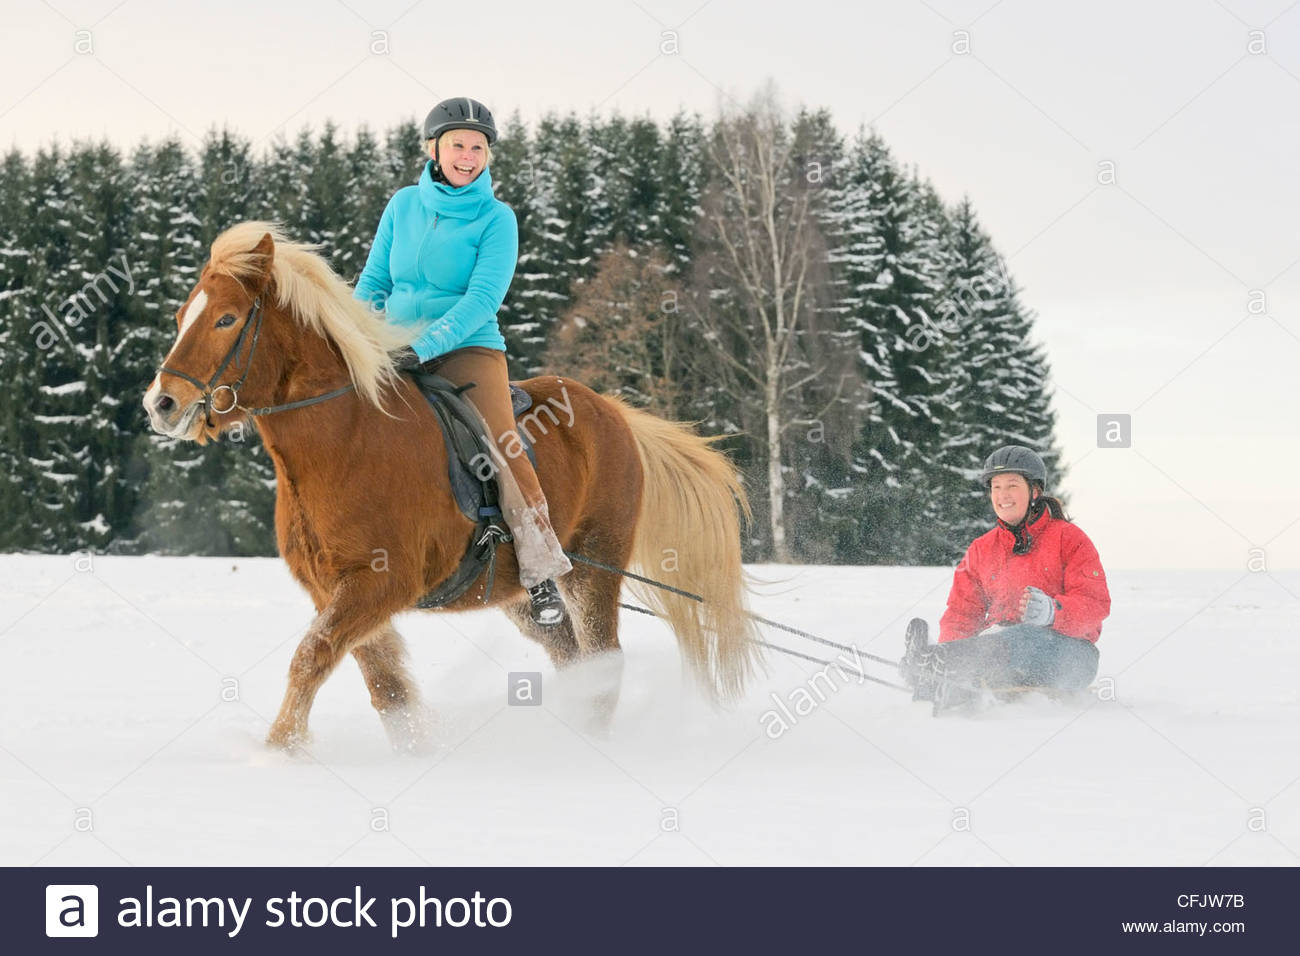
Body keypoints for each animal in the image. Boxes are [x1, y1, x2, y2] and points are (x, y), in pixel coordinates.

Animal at [142, 221, 761, 751]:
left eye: (226, 319)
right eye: (181, 316)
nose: (161, 404)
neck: (347, 441)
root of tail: (613, 412)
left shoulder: (379, 584)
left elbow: (312, 657)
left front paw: (277, 752)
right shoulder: (333, 590)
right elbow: (384, 686)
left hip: (593, 568)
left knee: (604, 661)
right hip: (522, 595)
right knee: (572, 657)